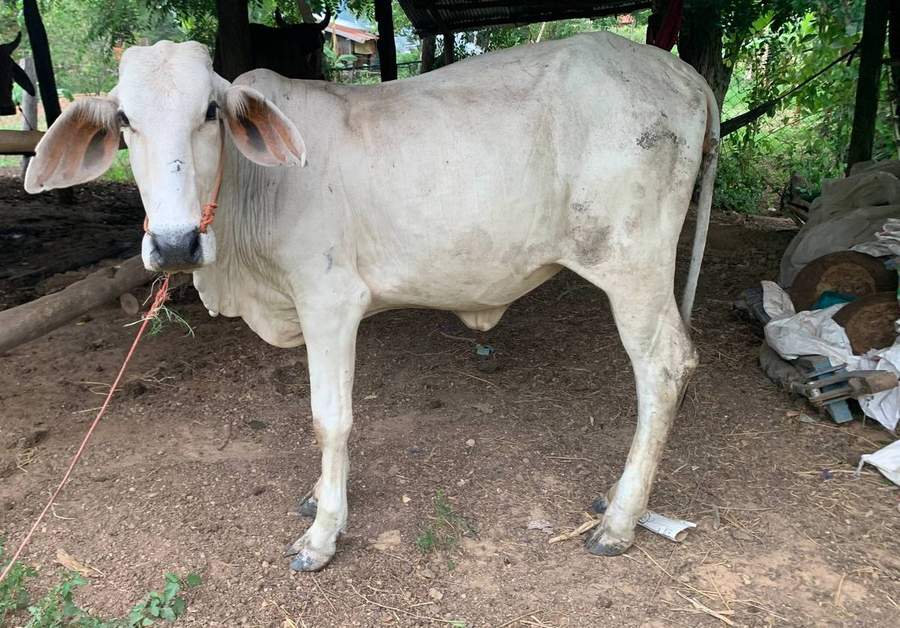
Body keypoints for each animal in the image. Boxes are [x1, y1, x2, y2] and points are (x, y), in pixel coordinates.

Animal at [24, 34, 719, 572]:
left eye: (210, 113)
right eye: (124, 122)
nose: (174, 243)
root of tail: (684, 74)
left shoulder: (329, 301)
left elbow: (329, 419)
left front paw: (323, 532)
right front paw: (316, 497)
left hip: (632, 267)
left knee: (665, 367)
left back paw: (620, 520)